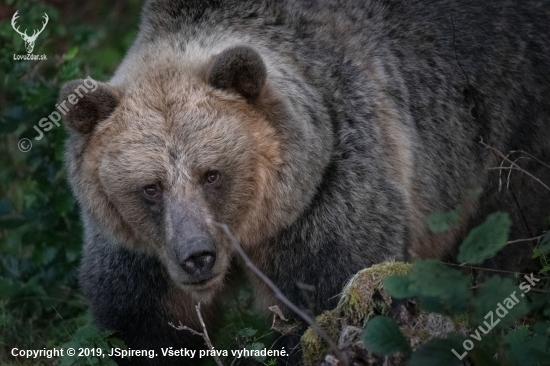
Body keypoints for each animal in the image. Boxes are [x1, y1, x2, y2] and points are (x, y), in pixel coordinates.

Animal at [60, 0, 550, 364]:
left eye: (211, 173)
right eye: (151, 187)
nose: (197, 256)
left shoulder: (329, 193)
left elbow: (327, 298)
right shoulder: (141, 257)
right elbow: (142, 325)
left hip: (510, 121)